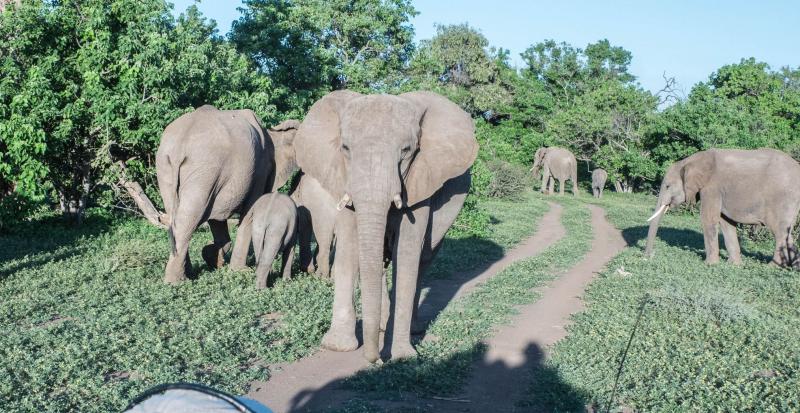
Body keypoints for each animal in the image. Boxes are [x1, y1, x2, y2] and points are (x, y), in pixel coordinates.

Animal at [155, 104, 298, 284]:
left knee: (176, 216)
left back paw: (187, 273)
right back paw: (177, 281)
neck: (272, 133)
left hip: (166, 166)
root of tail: (179, 145)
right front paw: (239, 270)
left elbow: (217, 218)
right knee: (188, 217)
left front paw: (212, 256)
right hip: (204, 168)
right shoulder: (258, 172)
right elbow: (249, 211)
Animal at [296, 89, 478, 360]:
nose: (374, 358)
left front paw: (402, 356)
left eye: (406, 150)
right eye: (345, 148)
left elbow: (407, 253)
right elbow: (350, 247)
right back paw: (383, 326)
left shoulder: (420, 182)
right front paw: (337, 347)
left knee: (423, 260)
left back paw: (412, 330)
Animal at [644, 148, 800, 268]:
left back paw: (772, 267)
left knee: (780, 232)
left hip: (783, 199)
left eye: (667, 186)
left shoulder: (712, 188)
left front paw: (709, 265)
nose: (649, 256)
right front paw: (734, 265)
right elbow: (726, 223)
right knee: (787, 233)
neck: (689, 161)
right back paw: (793, 268)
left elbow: (709, 219)